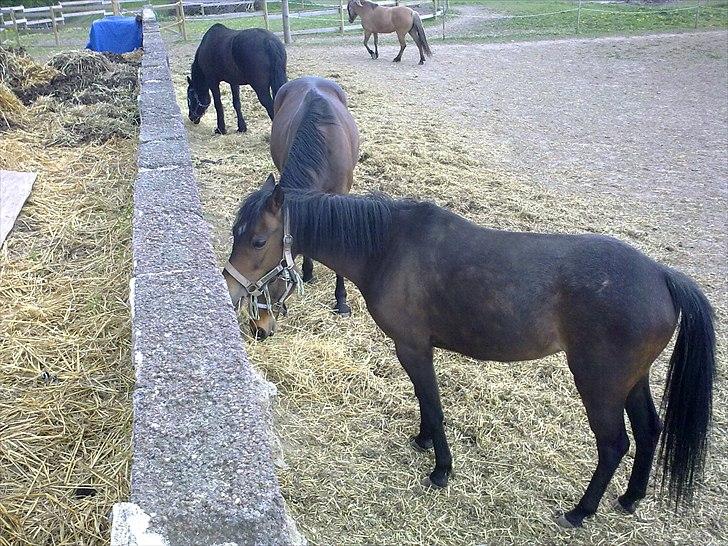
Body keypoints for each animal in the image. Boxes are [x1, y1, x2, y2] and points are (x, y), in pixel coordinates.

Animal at [222, 75, 358, 338]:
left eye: (259, 242)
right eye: (234, 234)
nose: (258, 329)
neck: (324, 142)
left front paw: (341, 301)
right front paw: (307, 271)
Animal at [225, 184, 712, 528]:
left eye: (258, 241)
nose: (231, 293)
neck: (388, 247)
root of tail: (661, 276)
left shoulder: (413, 347)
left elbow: (434, 405)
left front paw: (441, 470)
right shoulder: (417, 350)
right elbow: (425, 403)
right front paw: (423, 442)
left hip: (600, 385)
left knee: (614, 444)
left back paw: (581, 511)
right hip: (632, 380)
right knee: (649, 430)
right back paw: (630, 499)